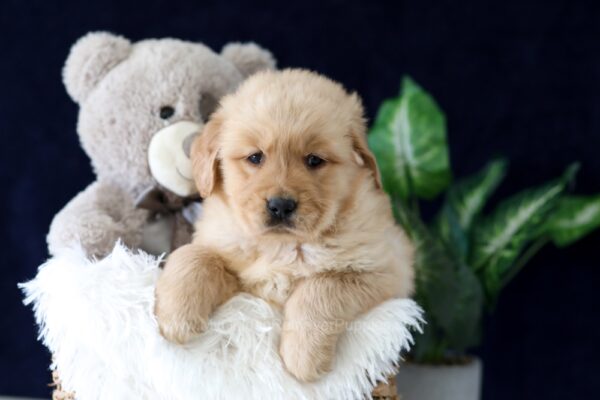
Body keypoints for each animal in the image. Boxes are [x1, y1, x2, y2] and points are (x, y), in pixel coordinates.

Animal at [155, 69, 414, 382]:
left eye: (314, 160)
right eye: (255, 157)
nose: (280, 206)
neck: (282, 245)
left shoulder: (386, 270)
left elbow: (320, 288)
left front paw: (303, 357)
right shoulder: (238, 271)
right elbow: (194, 255)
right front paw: (175, 318)